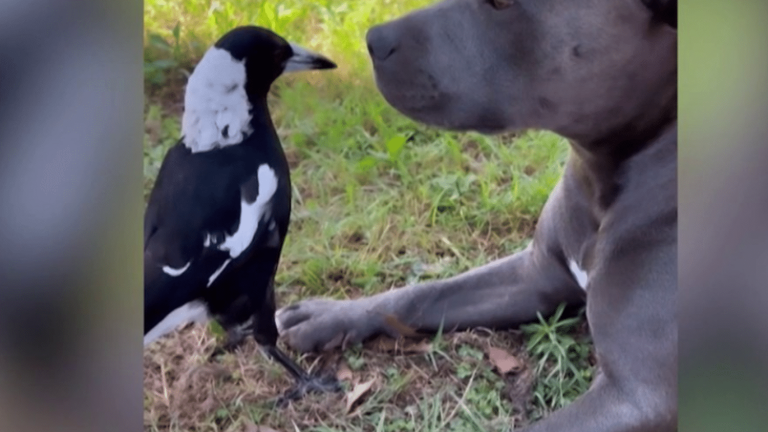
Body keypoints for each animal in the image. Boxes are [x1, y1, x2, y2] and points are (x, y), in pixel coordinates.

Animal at [280, 1, 676, 430]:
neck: (603, 176)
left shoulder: (637, 395)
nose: (373, 39)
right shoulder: (535, 274)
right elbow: (421, 293)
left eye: (502, 4)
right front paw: (329, 314)